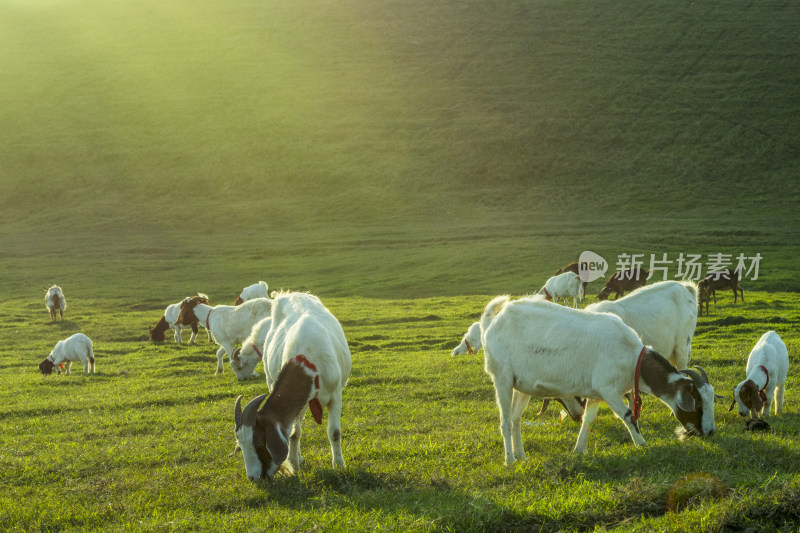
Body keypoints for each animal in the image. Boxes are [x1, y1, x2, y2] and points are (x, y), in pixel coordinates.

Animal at [234, 294, 354, 480]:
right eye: (240, 445)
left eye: (260, 443)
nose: (253, 477)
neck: (308, 363)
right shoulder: (301, 402)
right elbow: (293, 433)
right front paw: (294, 464)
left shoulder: (335, 394)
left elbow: (334, 432)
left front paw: (339, 465)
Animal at [478, 294, 716, 460]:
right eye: (697, 404)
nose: (710, 432)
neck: (632, 358)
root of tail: (491, 324)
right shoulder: (608, 389)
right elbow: (629, 416)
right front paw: (643, 445)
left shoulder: (596, 392)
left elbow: (588, 420)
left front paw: (579, 450)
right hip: (502, 377)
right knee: (505, 421)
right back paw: (509, 460)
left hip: (521, 385)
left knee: (516, 419)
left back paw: (521, 456)